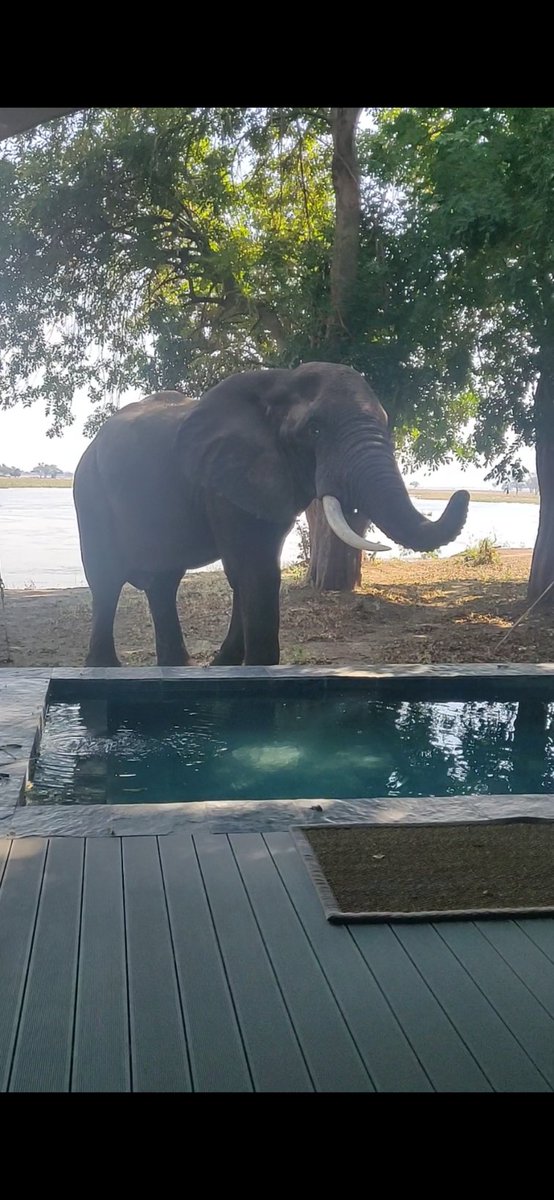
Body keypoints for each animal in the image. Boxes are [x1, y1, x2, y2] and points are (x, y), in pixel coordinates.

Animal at [73, 362, 469, 666]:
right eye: (314, 429)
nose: (462, 493)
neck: (280, 380)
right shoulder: (223, 479)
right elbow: (254, 570)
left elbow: (251, 572)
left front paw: (226, 666)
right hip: (89, 490)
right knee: (106, 579)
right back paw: (105, 668)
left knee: (163, 582)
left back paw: (176, 667)